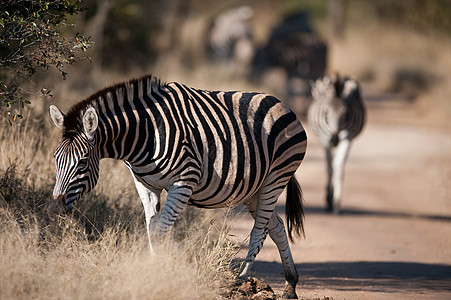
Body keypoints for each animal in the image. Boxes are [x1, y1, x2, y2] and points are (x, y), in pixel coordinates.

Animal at [50, 74, 310, 298]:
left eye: (82, 162)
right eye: (55, 158)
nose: (55, 207)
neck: (145, 133)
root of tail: (282, 104)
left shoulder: (184, 181)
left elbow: (161, 229)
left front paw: (163, 266)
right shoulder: (145, 184)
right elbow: (152, 228)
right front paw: (158, 266)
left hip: (276, 176)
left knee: (260, 229)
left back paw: (241, 278)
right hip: (253, 189)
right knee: (275, 227)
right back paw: (290, 285)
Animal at [308, 74, 368, 213]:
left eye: (346, 114)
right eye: (326, 113)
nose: (335, 138)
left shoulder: (347, 139)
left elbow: (338, 166)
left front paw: (336, 201)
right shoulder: (325, 140)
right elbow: (330, 168)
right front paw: (329, 199)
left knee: (336, 163)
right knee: (330, 164)